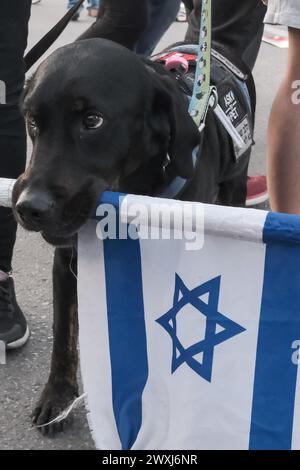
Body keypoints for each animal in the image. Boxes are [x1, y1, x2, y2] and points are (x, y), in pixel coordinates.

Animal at [11, 38, 255, 436]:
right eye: (33, 122)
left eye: (92, 121)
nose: (29, 207)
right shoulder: (67, 263)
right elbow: (64, 334)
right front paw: (58, 397)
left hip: (236, 188)